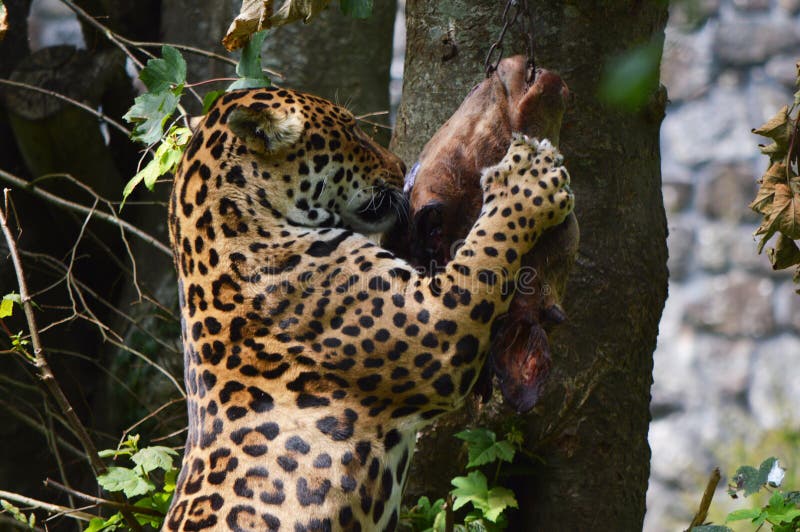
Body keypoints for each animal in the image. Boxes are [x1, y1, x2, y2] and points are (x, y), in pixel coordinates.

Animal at [164, 86, 574, 532]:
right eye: (352, 133)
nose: (402, 167)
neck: (235, 223)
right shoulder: (437, 325)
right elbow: (487, 246)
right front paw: (527, 179)